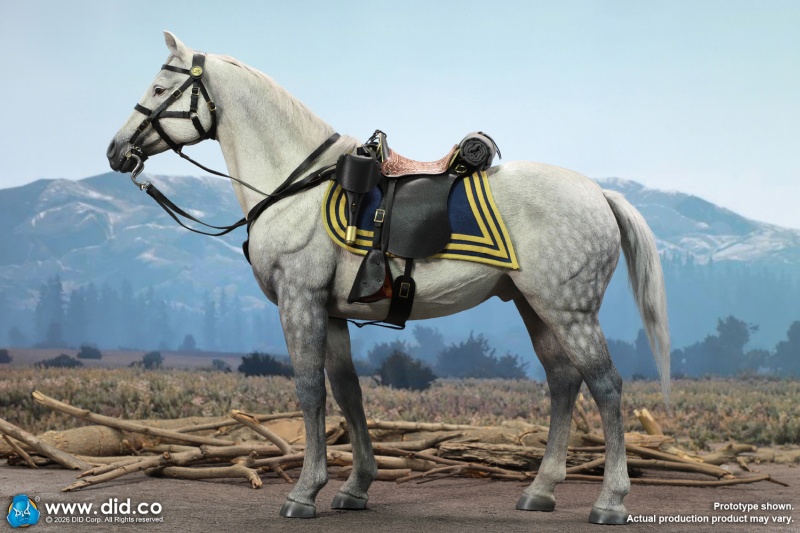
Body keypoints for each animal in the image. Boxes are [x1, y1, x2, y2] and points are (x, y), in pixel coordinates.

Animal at [106, 31, 670, 525]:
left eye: (159, 88)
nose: (116, 151)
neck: (298, 185)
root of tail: (600, 194)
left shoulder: (299, 302)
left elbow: (310, 390)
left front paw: (303, 492)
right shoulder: (331, 313)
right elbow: (348, 392)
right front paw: (355, 487)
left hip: (570, 311)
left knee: (606, 385)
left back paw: (610, 501)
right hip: (536, 307)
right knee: (563, 382)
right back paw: (541, 490)